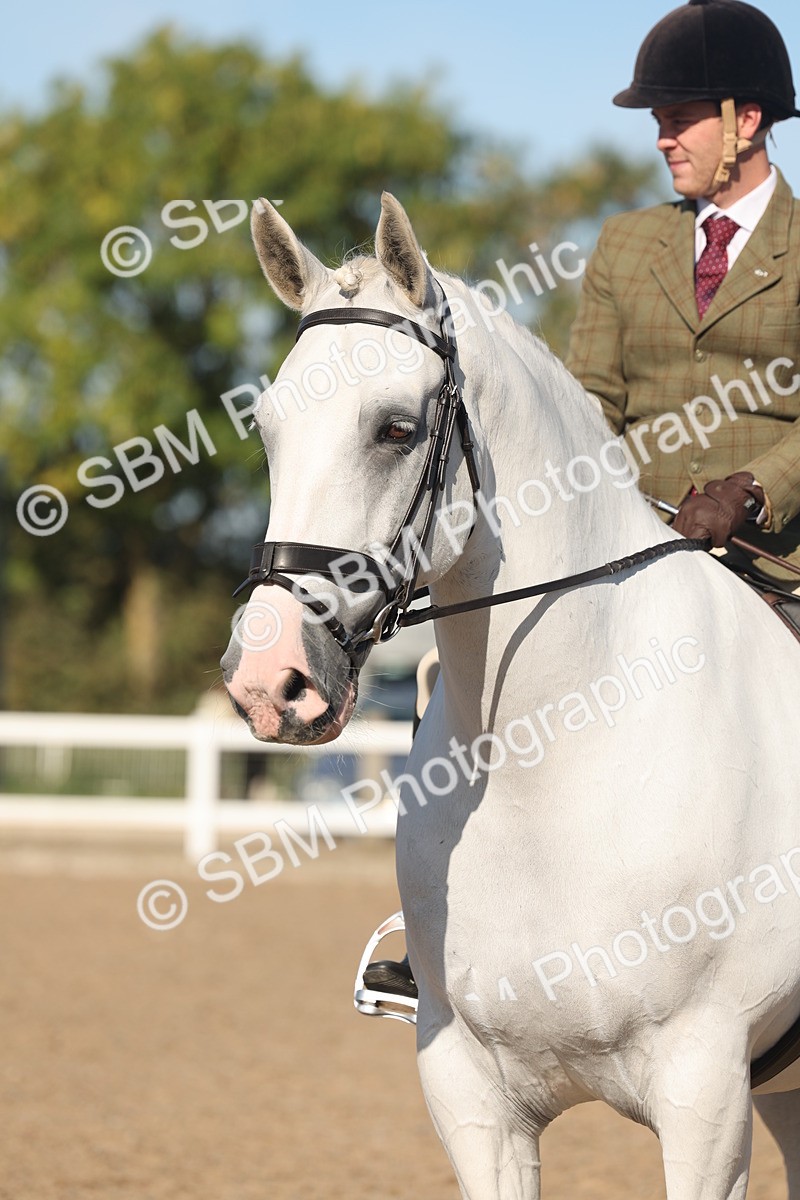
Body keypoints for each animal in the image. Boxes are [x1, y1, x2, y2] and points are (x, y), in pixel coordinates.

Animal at [221, 191, 800, 1199]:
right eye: (268, 429)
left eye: (396, 428)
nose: (269, 682)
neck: (555, 762)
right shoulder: (472, 1096)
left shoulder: (706, 1096)